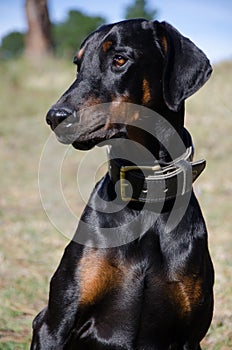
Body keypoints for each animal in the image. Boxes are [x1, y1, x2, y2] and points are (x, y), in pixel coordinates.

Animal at [30, 19, 214, 350]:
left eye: (119, 59)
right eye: (78, 65)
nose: (55, 117)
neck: (146, 196)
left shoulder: (188, 337)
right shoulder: (53, 324)